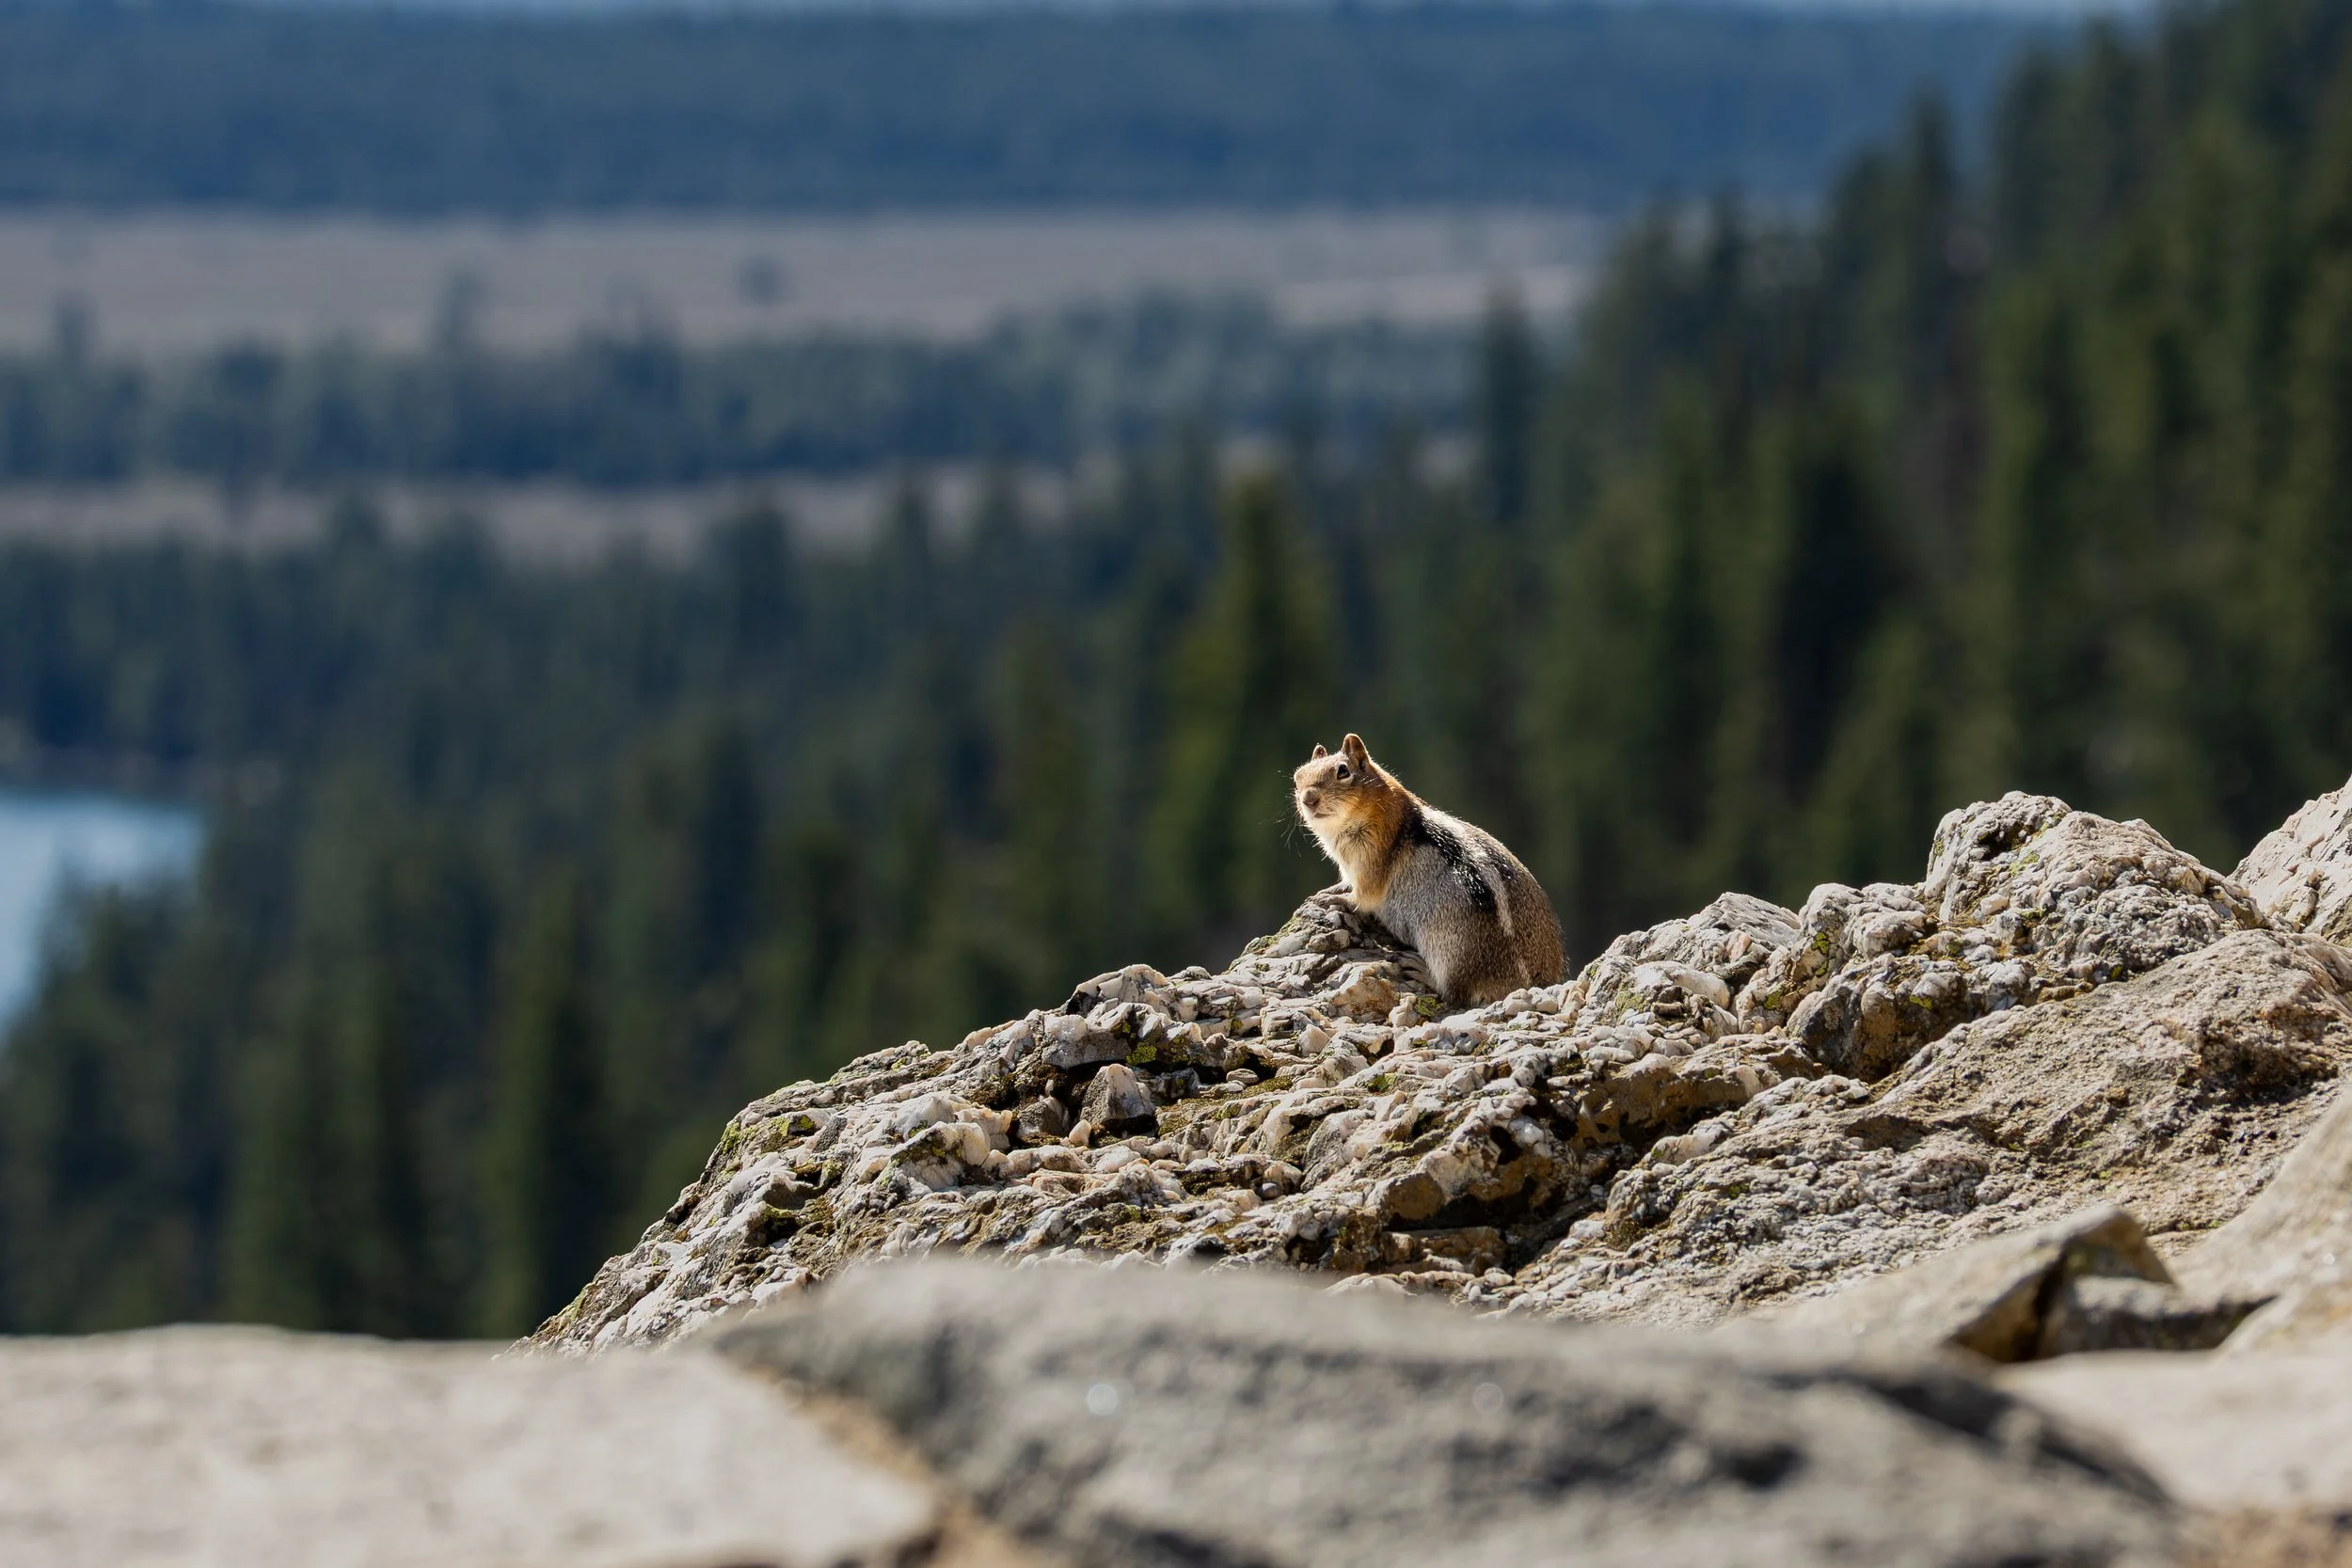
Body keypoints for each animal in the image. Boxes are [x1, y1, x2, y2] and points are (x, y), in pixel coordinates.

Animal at [1293, 734, 1565, 1007]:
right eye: (1298, 776)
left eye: (1343, 771)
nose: (1308, 798)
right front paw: (1329, 890)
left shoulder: (1372, 862)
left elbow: (1362, 897)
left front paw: (1335, 899)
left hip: (1450, 949)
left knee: (1455, 991)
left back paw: (1419, 968)